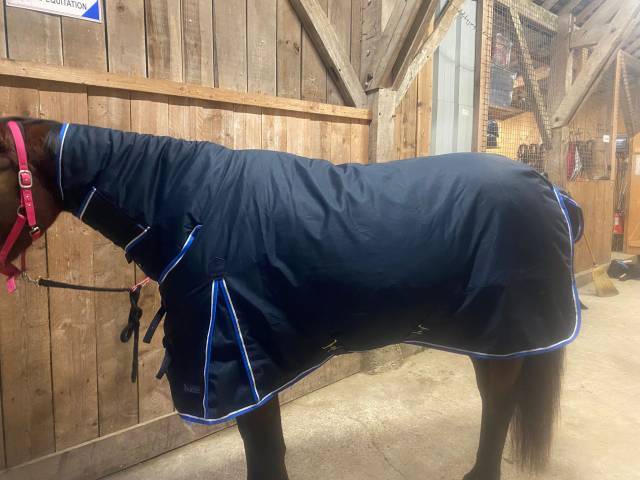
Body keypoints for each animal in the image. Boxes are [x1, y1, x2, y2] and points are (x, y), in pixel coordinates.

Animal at [0, 118, 581, 480]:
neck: (189, 212)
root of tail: (547, 186)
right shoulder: (258, 371)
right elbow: (272, 455)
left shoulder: (242, 372)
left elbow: (265, 460)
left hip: (505, 337)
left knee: (499, 409)